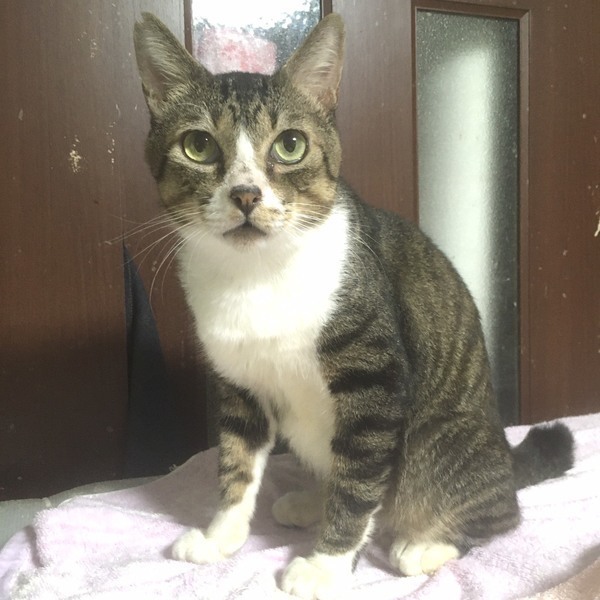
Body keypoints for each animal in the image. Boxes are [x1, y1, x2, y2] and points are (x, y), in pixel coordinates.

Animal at [133, 12, 574, 599]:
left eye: (290, 145)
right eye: (199, 146)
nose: (246, 194)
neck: (258, 276)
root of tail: (503, 456)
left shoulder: (375, 380)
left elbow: (360, 477)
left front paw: (326, 564)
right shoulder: (240, 382)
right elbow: (236, 462)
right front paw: (219, 536)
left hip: (441, 447)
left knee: (486, 512)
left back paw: (422, 542)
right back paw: (309, 502)